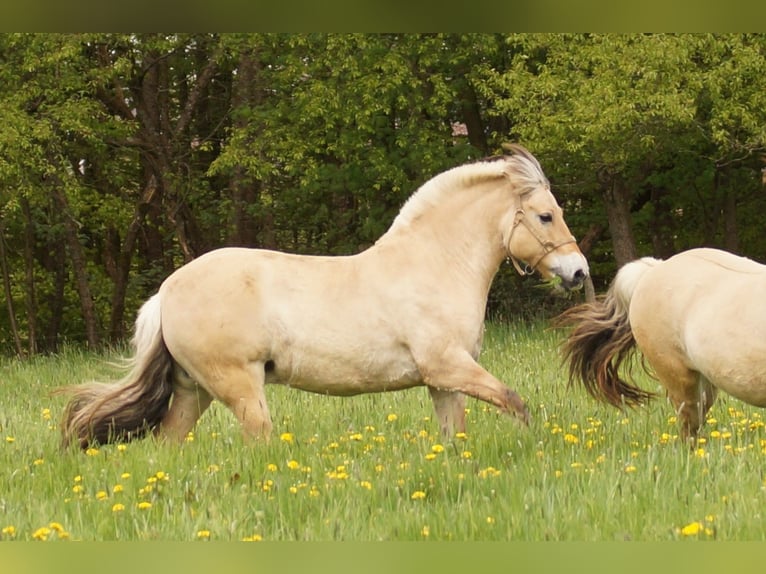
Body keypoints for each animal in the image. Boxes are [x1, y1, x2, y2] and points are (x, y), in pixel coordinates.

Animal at [59, 144, 589, 449]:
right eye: (545, 215)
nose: (578, 271)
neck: (434, 264)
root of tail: (166, 293)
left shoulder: (443, 380)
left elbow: (453, 435)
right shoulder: (448, 366)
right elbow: (515, 403)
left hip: (195, 391)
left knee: (168, 444)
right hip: (239, 387)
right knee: (258, 444)